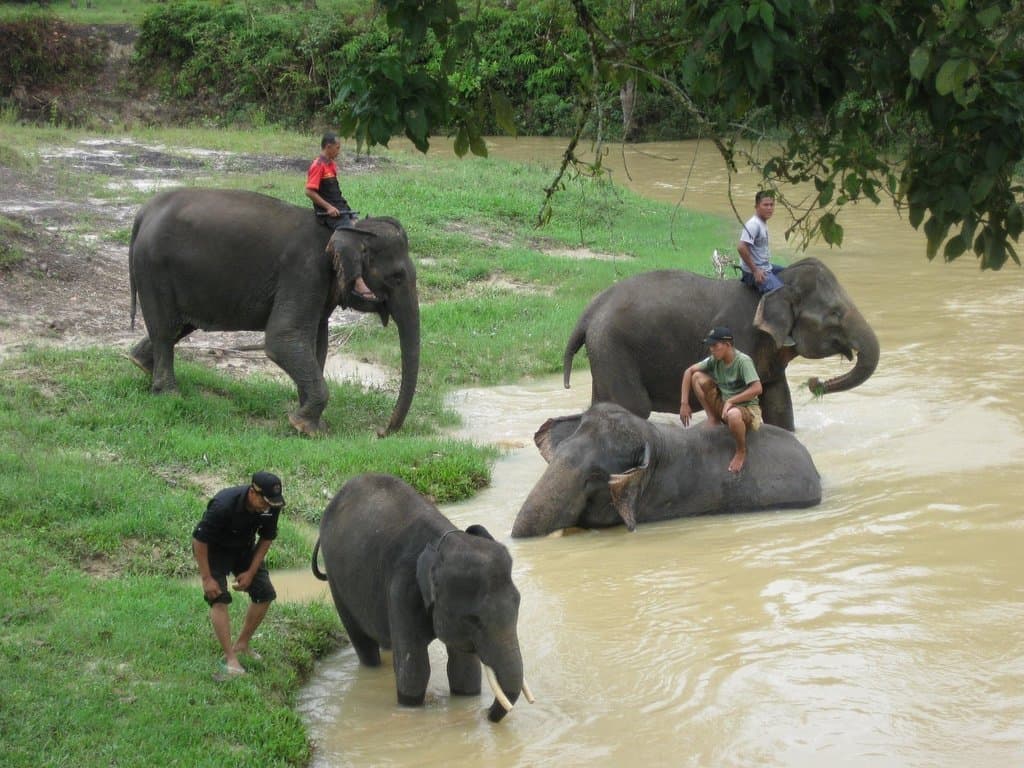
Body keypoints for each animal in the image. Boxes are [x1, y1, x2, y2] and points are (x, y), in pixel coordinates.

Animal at [127, 188, 418, 436]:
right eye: (397, 277)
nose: (381, 432)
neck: (348, 230)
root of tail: (143, 213)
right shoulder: (305, 272)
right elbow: (283, 339)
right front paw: (304, 427)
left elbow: (316, 345)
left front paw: (313, 424)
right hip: (154, 268)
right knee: (166, 330)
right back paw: (169, 393)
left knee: (179, 325)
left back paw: (141, 364)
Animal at [312, 473, 533, 722]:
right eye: (473, 620)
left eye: (518, 606)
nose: (485, 713)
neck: (441, 545)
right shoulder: (402, 591)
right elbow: (415, 670)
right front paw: (411, 706)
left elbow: (463, 667)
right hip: (336, 580)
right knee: (361, 640)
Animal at [563, 258, 879, 431]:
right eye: (835, 314)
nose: (815, 383)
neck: (778, 282)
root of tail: (588, 312)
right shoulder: (741, 337)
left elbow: (778, 403)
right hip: (614, 349)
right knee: (632, 406)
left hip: (604, 351)